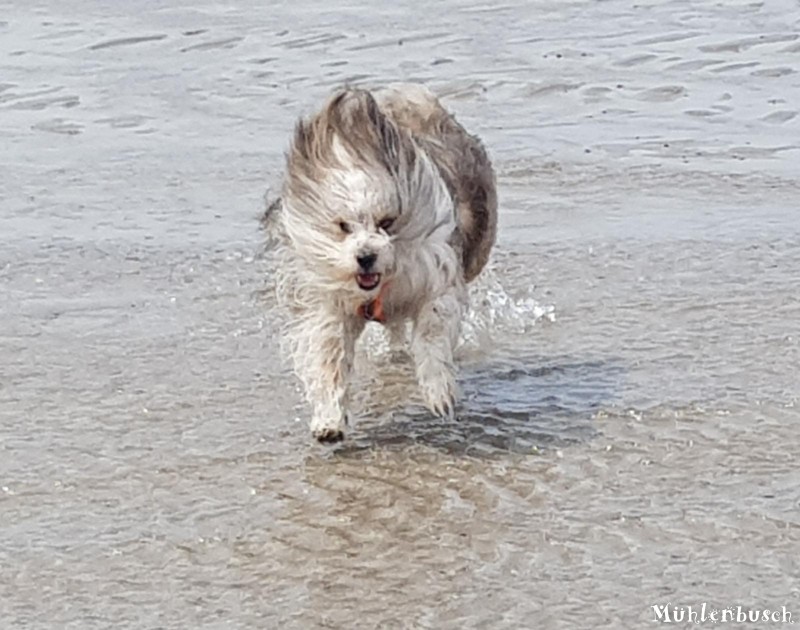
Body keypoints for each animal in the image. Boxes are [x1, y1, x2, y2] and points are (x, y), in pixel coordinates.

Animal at [266, 82, 496, 444]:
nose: (365, 256)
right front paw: (329, 420)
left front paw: (439, 393)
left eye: (386, 222)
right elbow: (329, 356)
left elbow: (431, 333)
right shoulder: (328, 302)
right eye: (343, 226)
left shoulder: (437, 275)